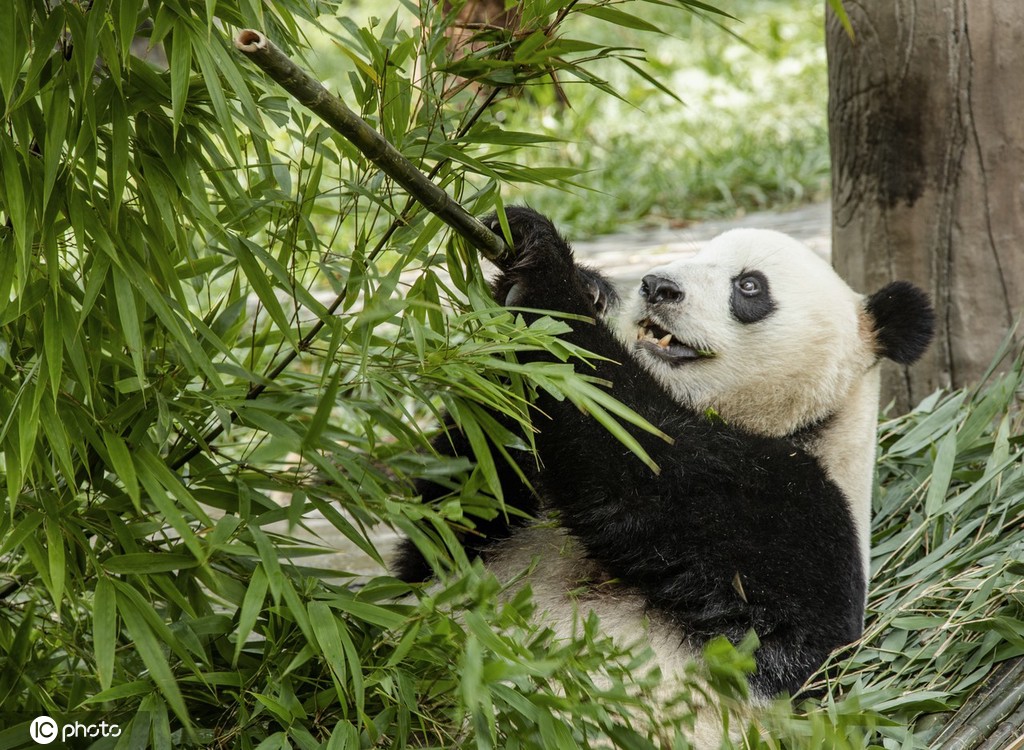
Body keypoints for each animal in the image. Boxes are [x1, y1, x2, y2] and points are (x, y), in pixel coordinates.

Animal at [391, 207, 937, 733]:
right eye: (695, 255)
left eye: (749, 285)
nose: (657, 286)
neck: (798, 423)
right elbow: (448, 524)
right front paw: (584, 284)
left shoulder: (799, 521)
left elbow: (636, 460)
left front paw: (547, 272)